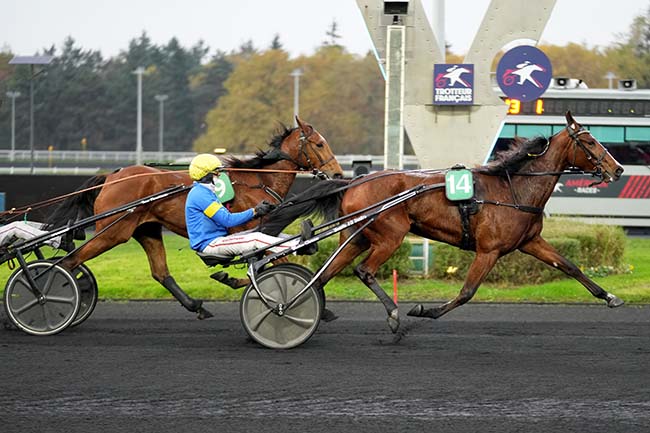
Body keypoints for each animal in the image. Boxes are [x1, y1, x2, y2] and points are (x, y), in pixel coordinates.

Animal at [48, 117, 342, 318]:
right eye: (319, 144)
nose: (338, 173)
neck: (259, 179)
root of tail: (112, 176)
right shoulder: (245, 231)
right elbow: (271, 263)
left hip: (147, 230)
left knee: (160, 272)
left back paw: (196, 305)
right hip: (113, 231)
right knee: (71, 261)